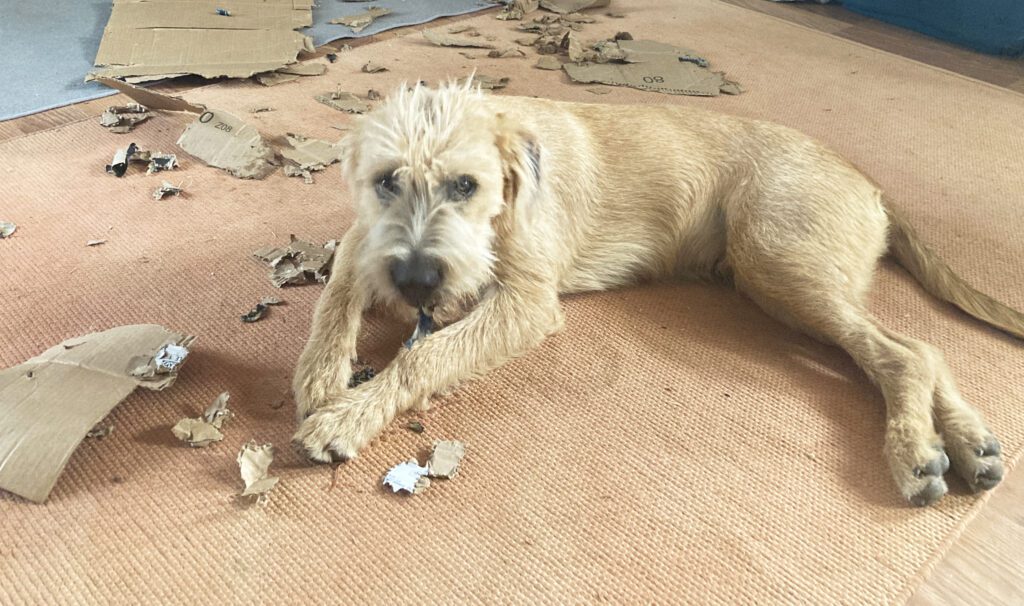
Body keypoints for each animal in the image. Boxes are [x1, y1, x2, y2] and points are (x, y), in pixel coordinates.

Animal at [290, 80, 1024, 505]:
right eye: (386, 180)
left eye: (465, 185)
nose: (417, 283)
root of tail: (868, 180)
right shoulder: (368, 239)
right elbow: (340, 286)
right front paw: (323, 373)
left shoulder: (526, 302)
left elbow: (424, 355)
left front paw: (348, 416)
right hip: (786, 279)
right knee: (919, 349)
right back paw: (970, 445)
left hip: (779, 263)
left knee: (905, 351)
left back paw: (916, 451)